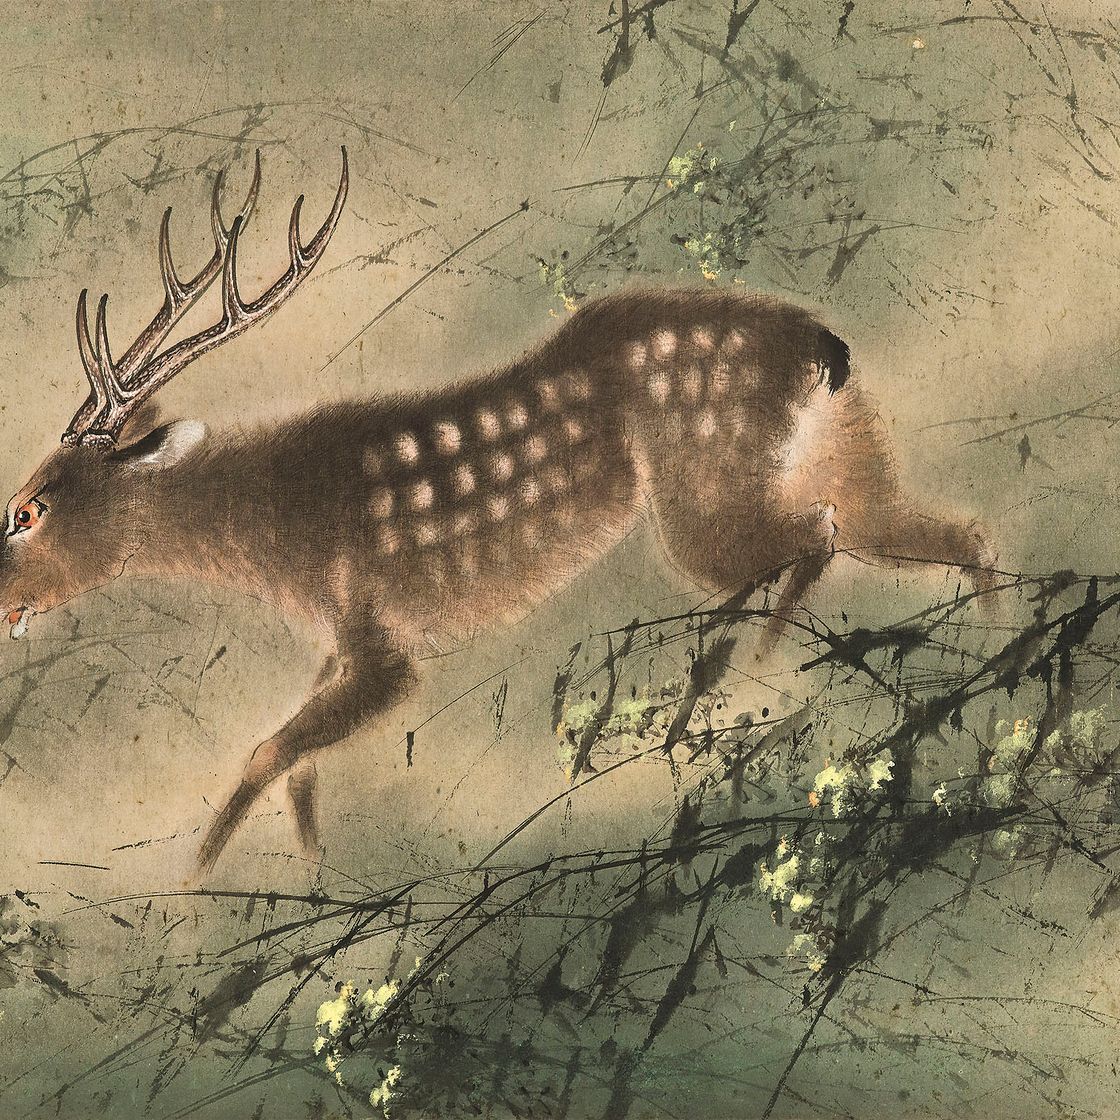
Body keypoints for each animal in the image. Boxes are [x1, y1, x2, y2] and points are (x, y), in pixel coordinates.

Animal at [0, 149, 996, 873]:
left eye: (27, 509)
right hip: (845, 452)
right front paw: (310, 874)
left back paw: (723, 686)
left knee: (807, 539)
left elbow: (265, 753)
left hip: (703, 494)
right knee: (946, 528)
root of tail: (827, 345)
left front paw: (200, 884)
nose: (5, 600)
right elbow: (297, 770)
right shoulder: (339, 640)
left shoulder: (382, 640)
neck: (278, 525)